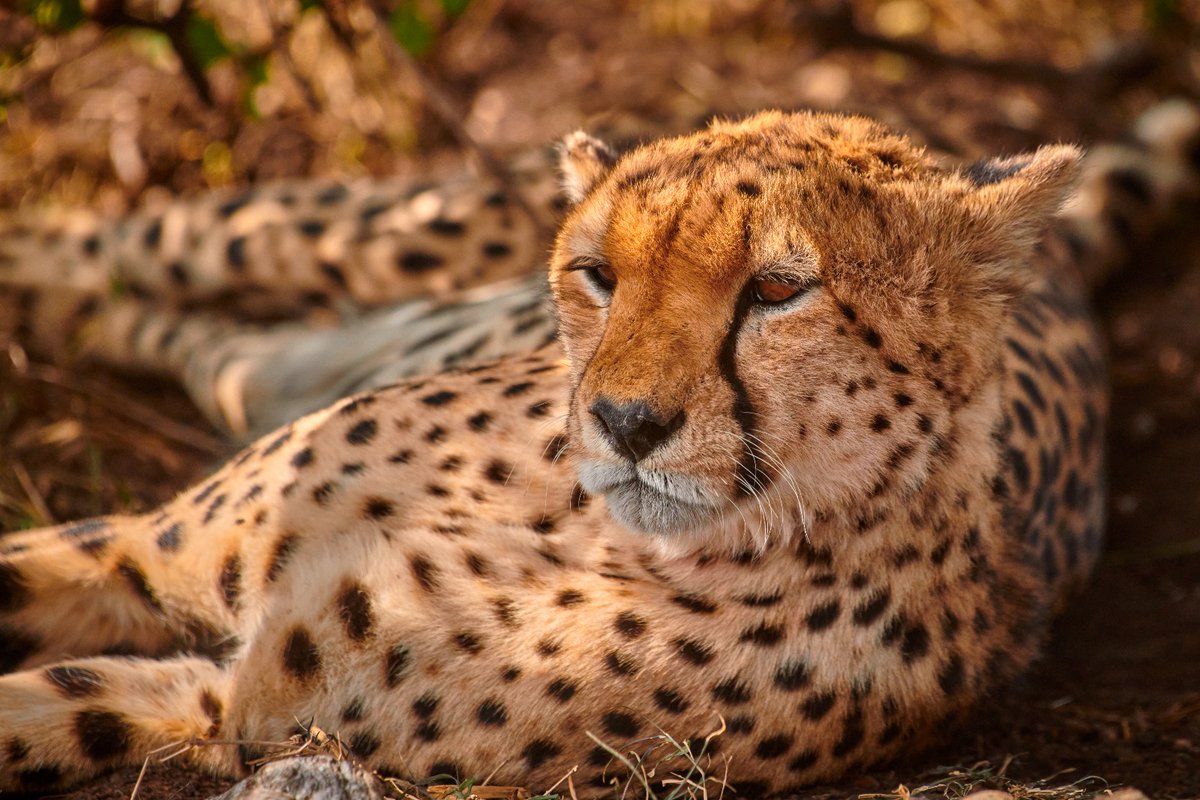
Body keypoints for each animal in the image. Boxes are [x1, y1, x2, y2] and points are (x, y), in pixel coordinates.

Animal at [0, 104, 1195, 796]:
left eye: (778, 289)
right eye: (597, 275)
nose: (624, 421)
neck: (572, 523)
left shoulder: (234, 707)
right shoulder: (152, 552)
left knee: (203, 345)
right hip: (365, 233)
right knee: (149, 240)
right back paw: (35, 266)